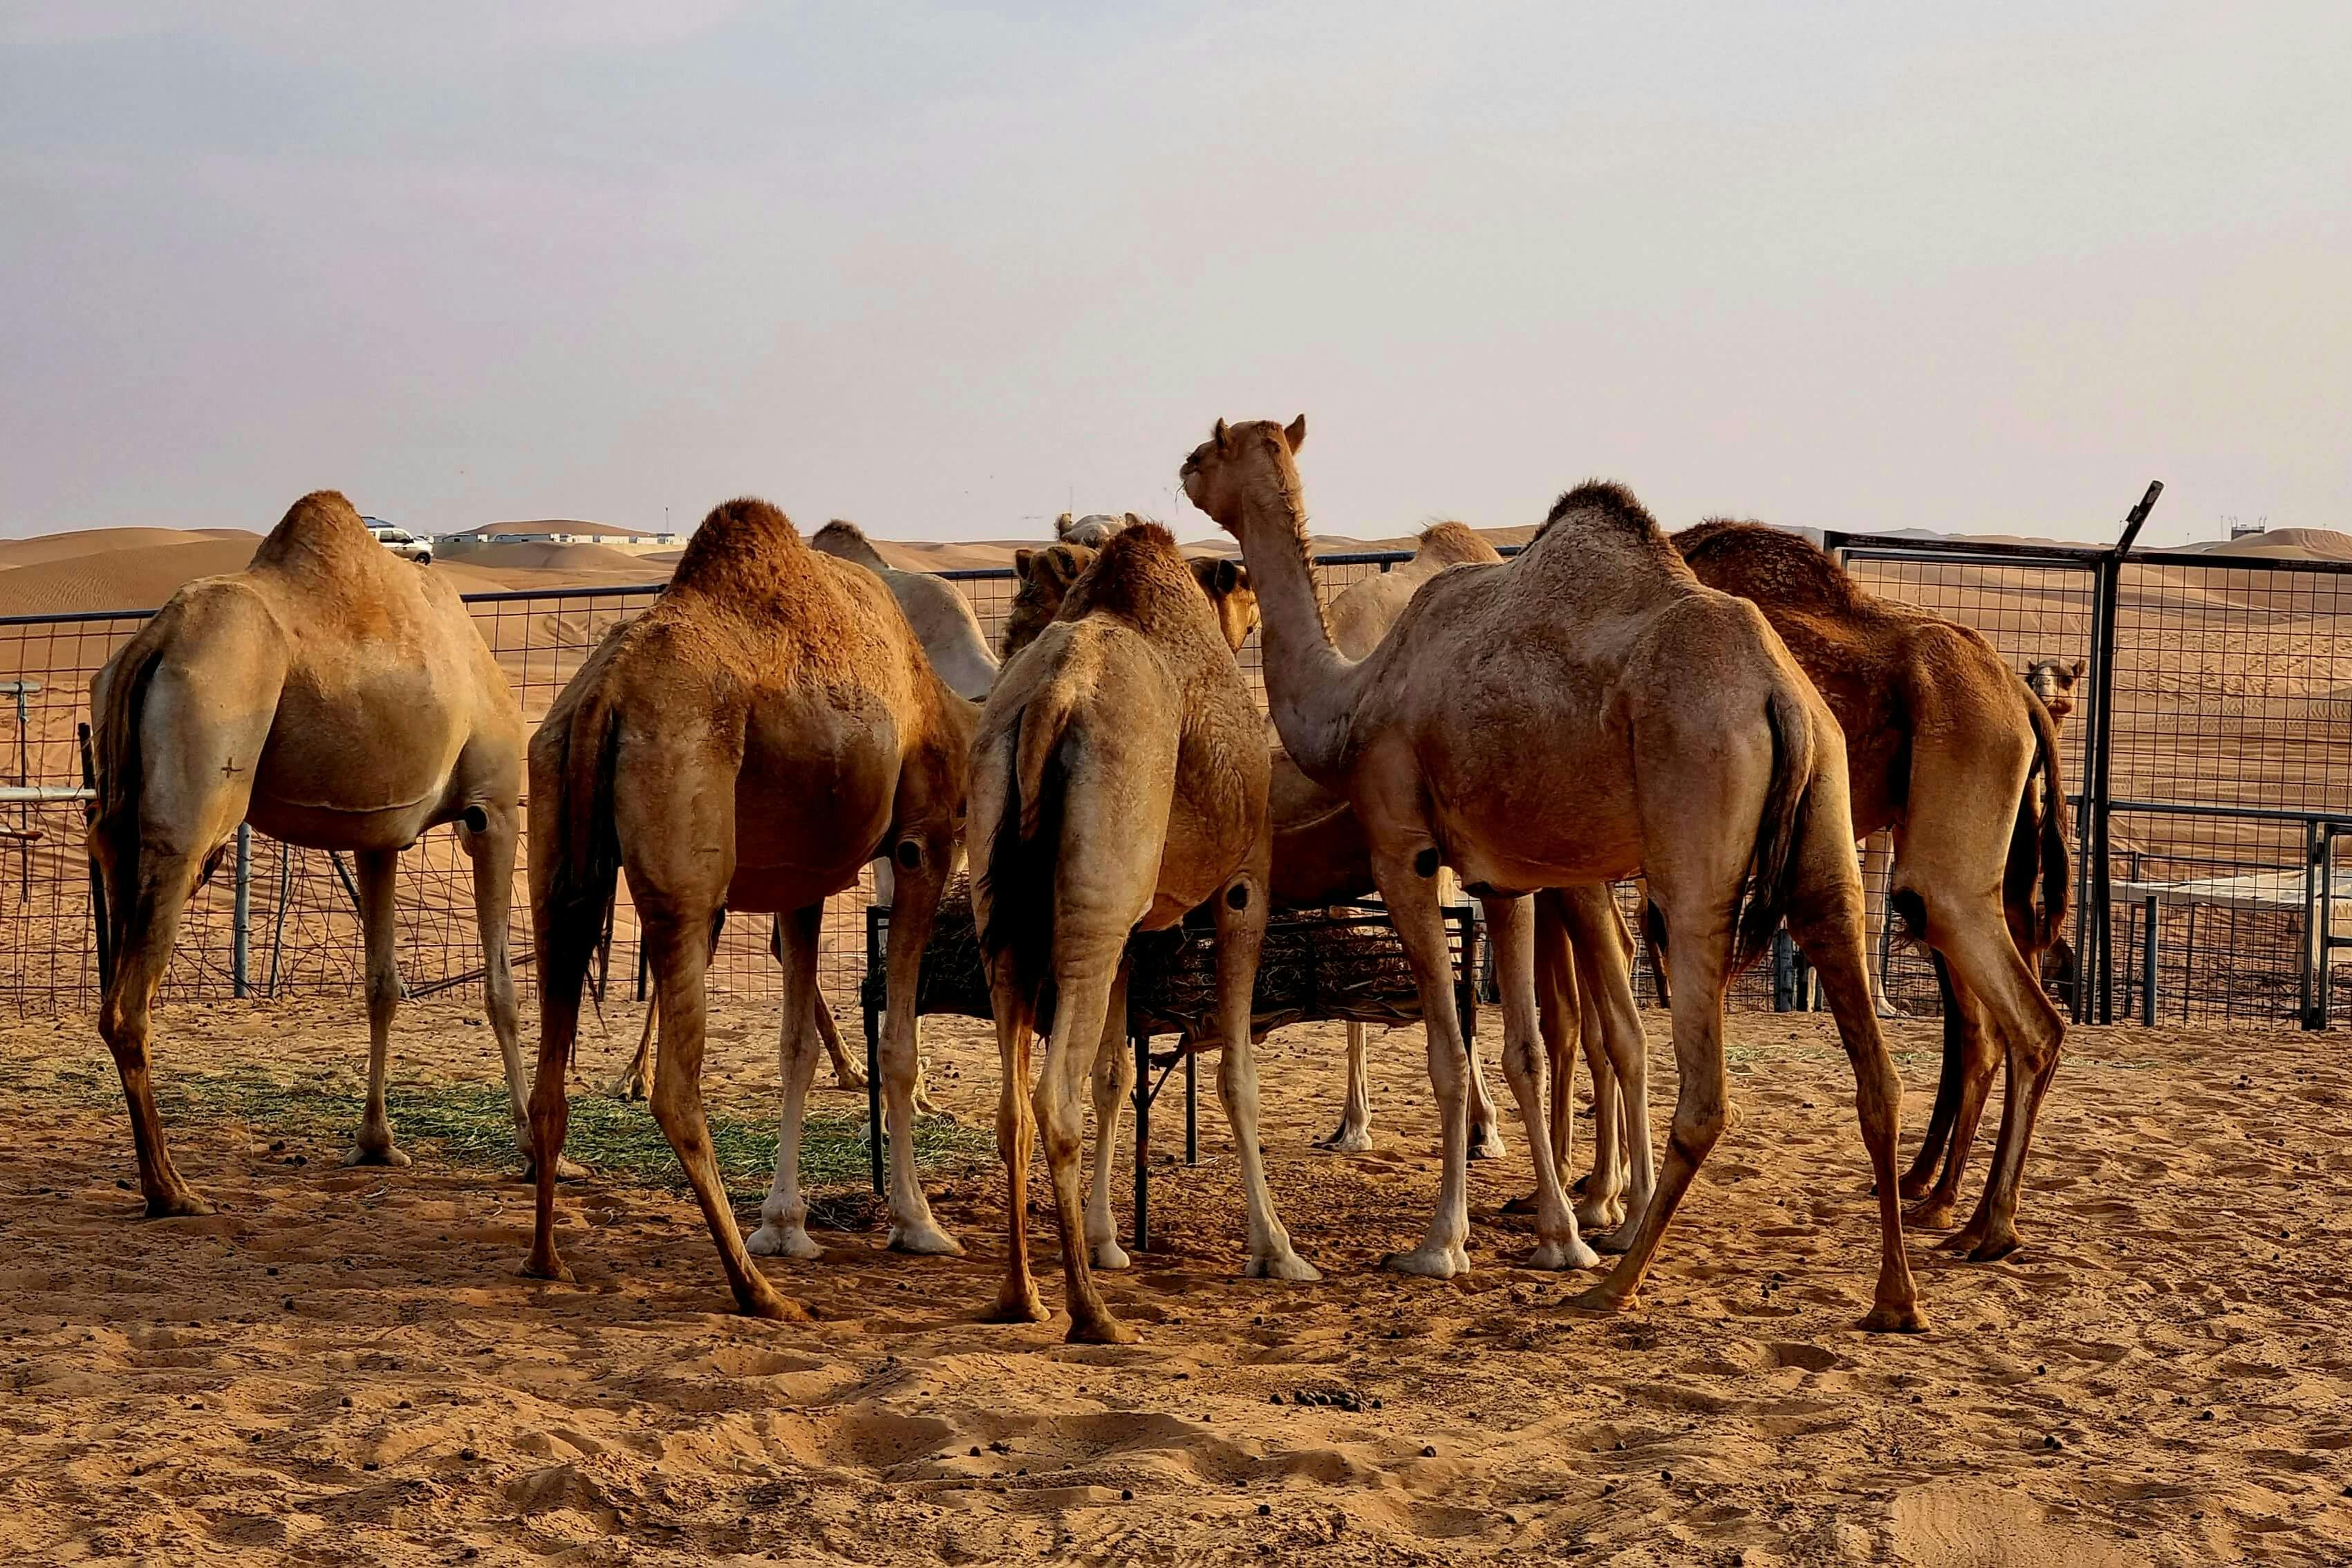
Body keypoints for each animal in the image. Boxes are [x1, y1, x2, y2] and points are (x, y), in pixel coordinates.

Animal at [88, 490, 548, 1215]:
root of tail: (153, 641)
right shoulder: (493, 809)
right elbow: (502, 990)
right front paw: (534, 1152)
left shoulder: (378, 836)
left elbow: (382, 986)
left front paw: (376, 1144)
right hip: (199, 790)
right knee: (130, 1004)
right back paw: (172, 1190)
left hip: (118, 814)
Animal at [523, 498, 972, 1319]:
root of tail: (605, 692)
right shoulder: (923, 841)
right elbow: (897, 1045)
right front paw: (918, 1223)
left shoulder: (803, 879)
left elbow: (795, 1047)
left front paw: (790, 1227)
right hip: (685, 828)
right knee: (676, 1089)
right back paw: (755, 1289)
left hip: (555, 825)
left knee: (552, 1061)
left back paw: (547, 1260)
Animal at [972, 523, 1312, 1343]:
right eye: (1243, 587)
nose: (1252, 610)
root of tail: (1050, 701)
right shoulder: (1244, 883)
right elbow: (1236, 1076)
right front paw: (1276, 1250)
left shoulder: (1128, 928)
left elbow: (1116, 1075)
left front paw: (1107, 1238)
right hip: (1100, 880)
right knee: (1051, 1099)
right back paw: (1091, 1314)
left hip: (1022, 906)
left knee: (1013, 1106)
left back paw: (1021, 1297)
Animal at [1185, 417, 1924, 1331]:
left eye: (1216, 444)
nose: (1185, 467)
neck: (1355, 698)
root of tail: (1775, 693)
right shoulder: (1503, 878)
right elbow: (1525, 1051)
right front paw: (1550, 1231)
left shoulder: (1404, 847)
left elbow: (1447, 1052)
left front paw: (1440, 1248)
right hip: (1826, 816)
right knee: (1875, 1064)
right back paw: (1895, 1299)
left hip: (1695, 842)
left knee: (1705, 1090)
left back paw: (1617, 1282)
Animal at [1666, 522, 2069, 1262]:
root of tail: (2019, 699)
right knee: (1984, 1025)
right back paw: (1948, 1206)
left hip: (1953, 857)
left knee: (2024, 1024)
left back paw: (1986, 1225)